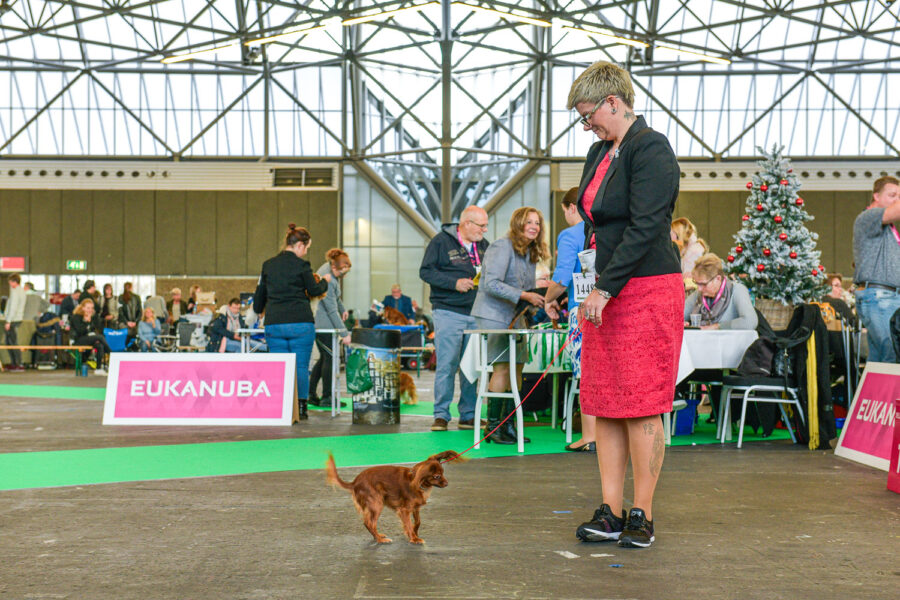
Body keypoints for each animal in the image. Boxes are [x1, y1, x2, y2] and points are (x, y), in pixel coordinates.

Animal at [326, 450, 464, 544]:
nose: (447, 483)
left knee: (368, 523)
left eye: (443, 473)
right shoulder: (404, 510)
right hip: (377, 504)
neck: (418, 482)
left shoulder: (415, 508)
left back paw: (379, 536)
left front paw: (414, 533)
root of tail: (355, 482)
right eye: (436, 476)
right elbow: (408, 523)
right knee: (369, 523)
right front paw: (414, 538)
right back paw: (380, 540)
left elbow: (417, 522)